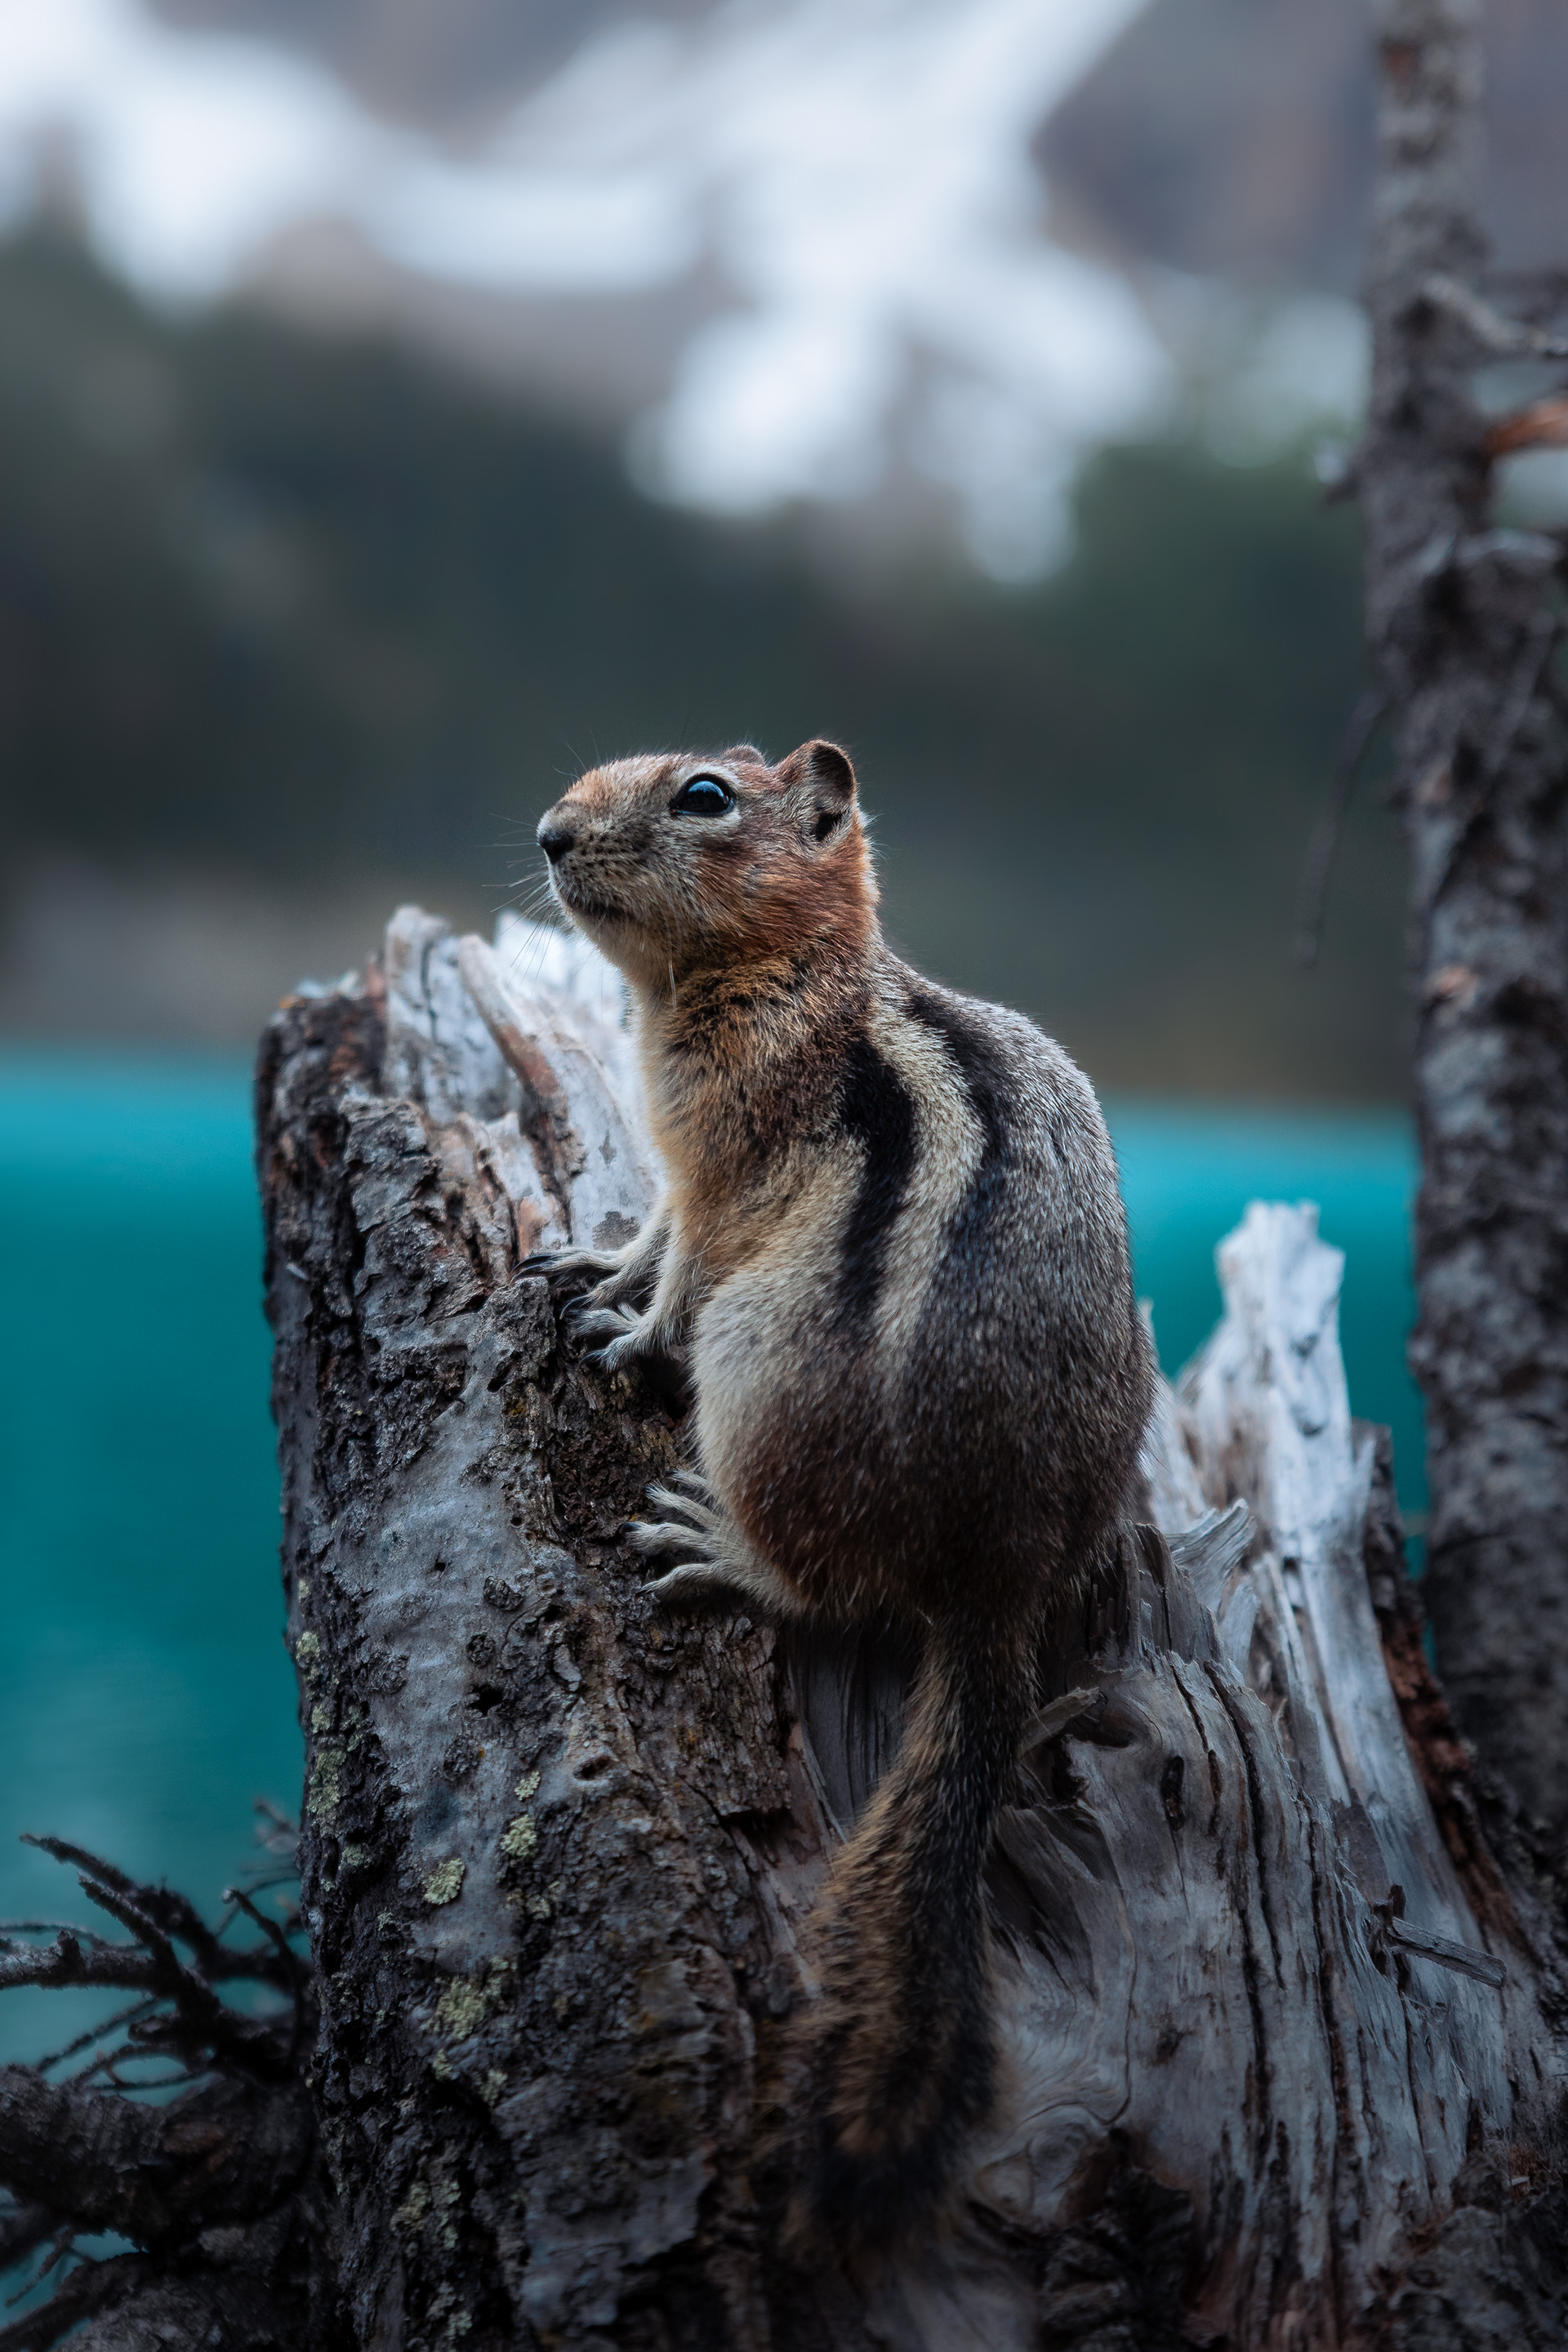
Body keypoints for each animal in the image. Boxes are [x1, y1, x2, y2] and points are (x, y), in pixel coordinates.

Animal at [525, 738, 1152, 2256]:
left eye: (702, 797)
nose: (551, 833)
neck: (791, 973)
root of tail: (1001, 1569)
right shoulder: (686, 1154)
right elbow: (653, 1229)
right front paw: (593, 1262)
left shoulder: (724, 1154)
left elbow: (685, 1258)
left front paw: (627, 1329)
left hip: (761, 1370)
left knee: (829, 1581)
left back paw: (723, 1549)